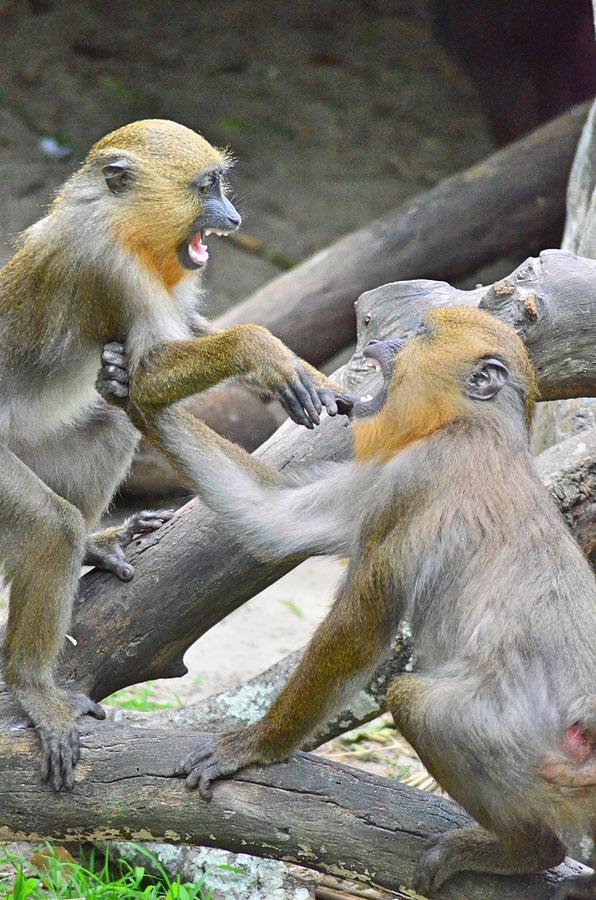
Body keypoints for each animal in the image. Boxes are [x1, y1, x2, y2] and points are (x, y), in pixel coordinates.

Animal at [1, 118, 344, 788]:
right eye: (206, 187)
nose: (233, 217)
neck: (124, 225)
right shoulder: (108, 268)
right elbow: (149, 371)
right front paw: (264, 353)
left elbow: (148, 373)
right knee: (48, 525)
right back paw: (31, 686)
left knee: (112, 422)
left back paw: (95, 543)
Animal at [100, 308, 592, 892]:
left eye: (419, 334)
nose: (383, 342)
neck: (475, 424)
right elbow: (276, 516)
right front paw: (120, 381)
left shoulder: (412, 477)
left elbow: (359, 629)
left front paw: (256, 745)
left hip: (528, 752)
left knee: (414, 701)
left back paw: (525, 850)